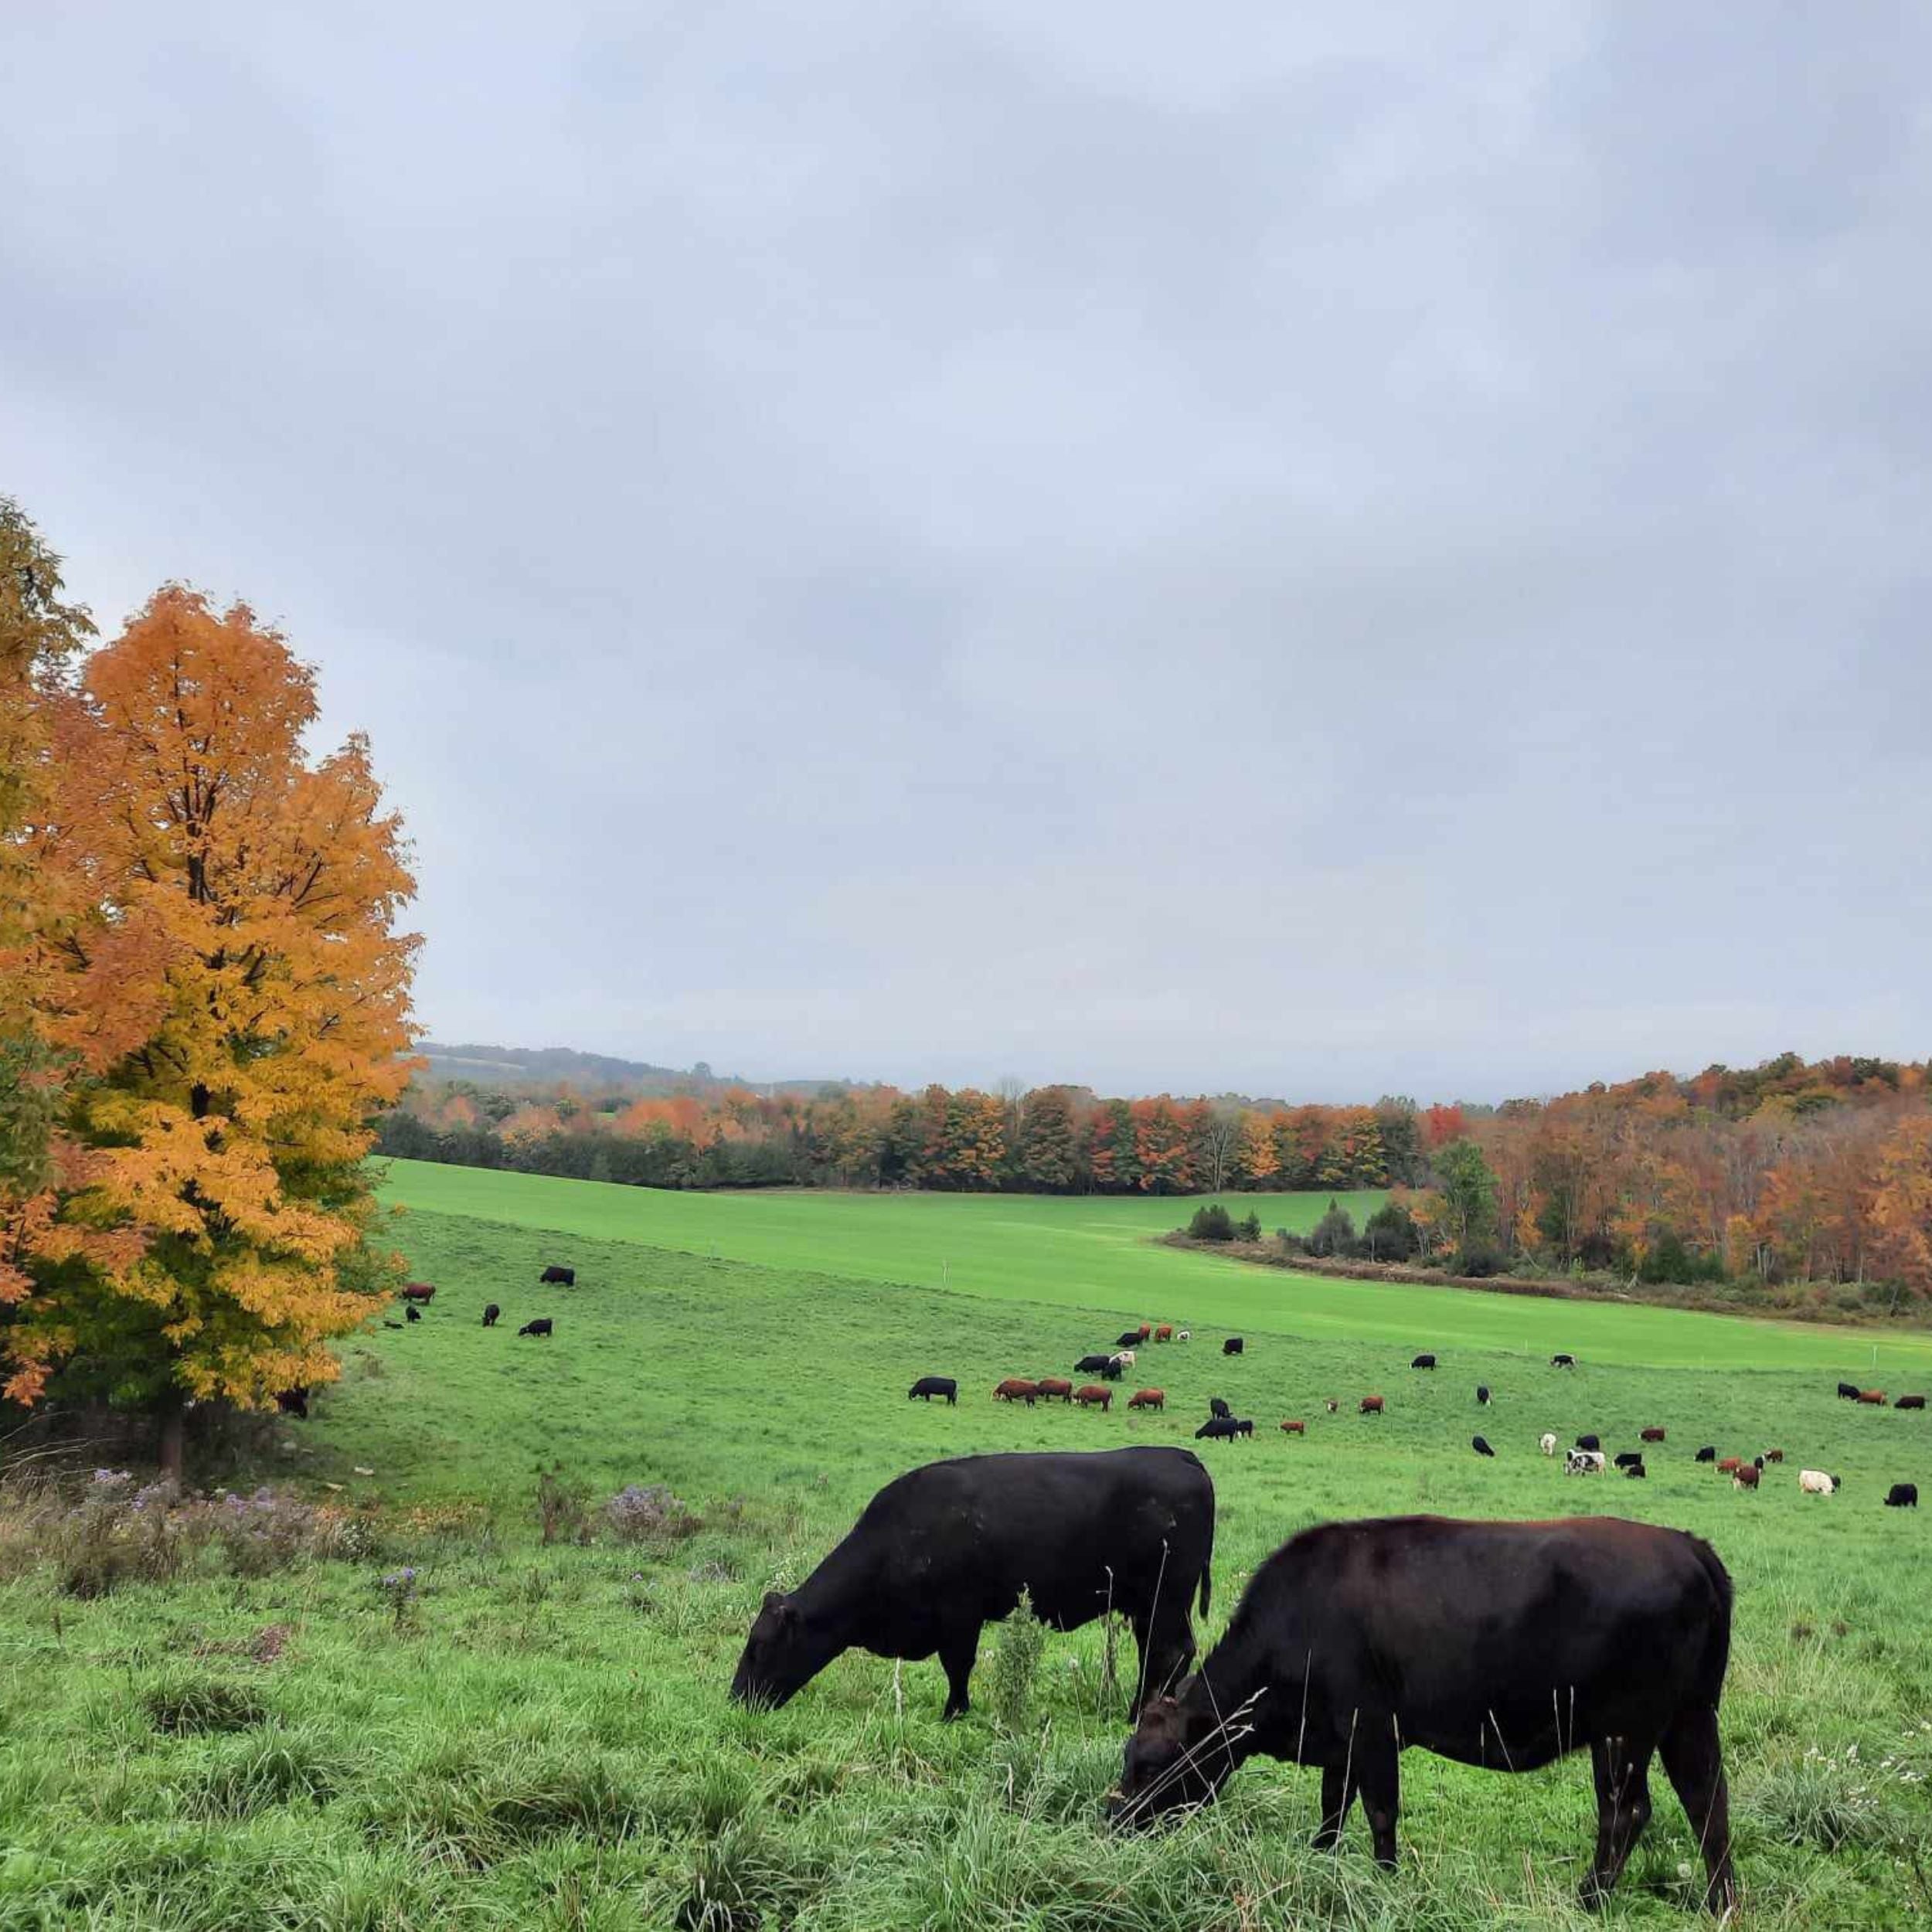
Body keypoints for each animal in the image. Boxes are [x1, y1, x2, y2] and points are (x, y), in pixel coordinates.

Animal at [730, 1453, 1213, 1723]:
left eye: (759, 1647)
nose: (736, 1700)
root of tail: (1183, 1457)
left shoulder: (960, 1614)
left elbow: (957, 1666)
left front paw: (954, 1713)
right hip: (1148, 1606)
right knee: (1161, 1653)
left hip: (1165, 1599)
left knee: (1171, 1652)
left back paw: (1139, 1716)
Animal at [1113, 1522, 1747, 1917]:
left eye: (1151, 1764)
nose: (1113, 1820)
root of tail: (1687, 1547)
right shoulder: (1340, 1740)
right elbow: (1332, 1807)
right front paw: (1321, 1863)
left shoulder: (1371, 1728)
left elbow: (1379, 1811)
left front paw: (1384, 1881)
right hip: (1690, 1717)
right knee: (1708, 1804)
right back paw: (1723, 1904)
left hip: (1622, 1733)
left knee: (1627, 1813)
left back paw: (1588, 1899)